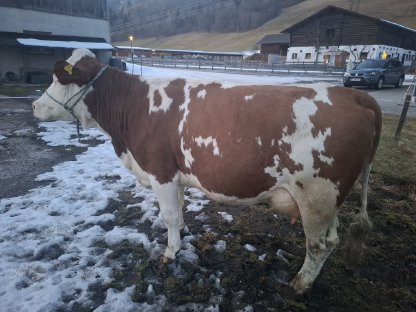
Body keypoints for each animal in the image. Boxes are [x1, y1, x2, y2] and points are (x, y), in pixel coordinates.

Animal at [34, 48, 382, 292]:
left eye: (58, 79)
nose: (35, 106)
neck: (133, 109)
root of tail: (353, 94)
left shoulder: (160, 170)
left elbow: (168, 214)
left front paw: (170, 252)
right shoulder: (176, 174)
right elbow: (180, 209)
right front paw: (183, 233)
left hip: (317, 195)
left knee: (319, 244)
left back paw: (301, 283)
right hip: (330, 199)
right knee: (332, 239)